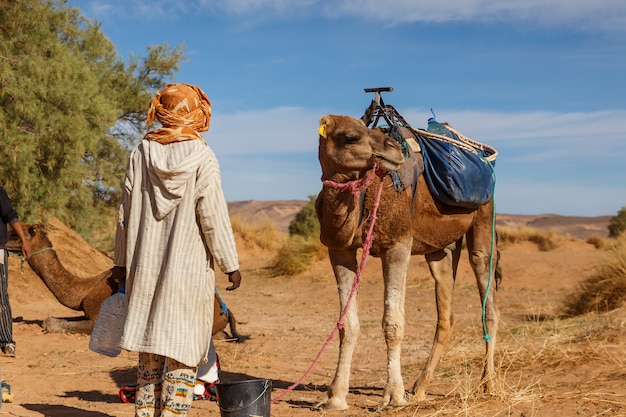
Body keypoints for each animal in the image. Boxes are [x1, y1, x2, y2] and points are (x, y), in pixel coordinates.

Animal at [7, 223, 241, 340]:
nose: (3, 239)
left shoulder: (97, 318)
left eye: (16, 235)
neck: (86, 287)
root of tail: (225, 309)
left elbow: (57, 324)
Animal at [314, 114, 500, 410]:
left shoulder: (398, 245)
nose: (393, 149)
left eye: (366, 128)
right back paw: (420, 388)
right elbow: (347, 324)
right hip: (440, 250)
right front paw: (335, 397)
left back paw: (488, 384)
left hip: (484, 219)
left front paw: (393, 396)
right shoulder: (339, 250)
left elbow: (393, 322)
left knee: (488, 300)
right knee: (446, 315)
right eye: (351, 136)